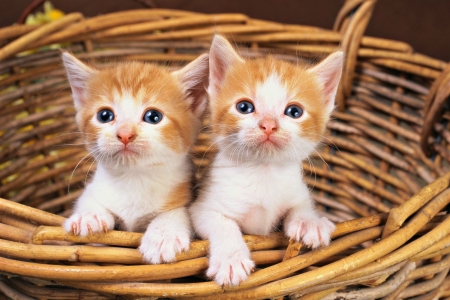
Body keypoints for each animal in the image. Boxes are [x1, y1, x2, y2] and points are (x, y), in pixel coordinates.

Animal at [62, 52, 209, 264]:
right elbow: (88, 199)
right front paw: (88, 215)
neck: (133, 178)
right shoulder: (95, 188)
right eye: (104, 115)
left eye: (153, 116)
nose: (125, 134)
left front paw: (163, 235)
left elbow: (179, 212)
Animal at [189, 35, 342, 286]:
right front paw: (231, 259)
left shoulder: (296, 190)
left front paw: (310, 222)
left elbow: (301, 205)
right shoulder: (203, 207)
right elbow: (222, 223)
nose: (268, 125)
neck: (264, 171)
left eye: (294, 111)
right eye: (244, 107)